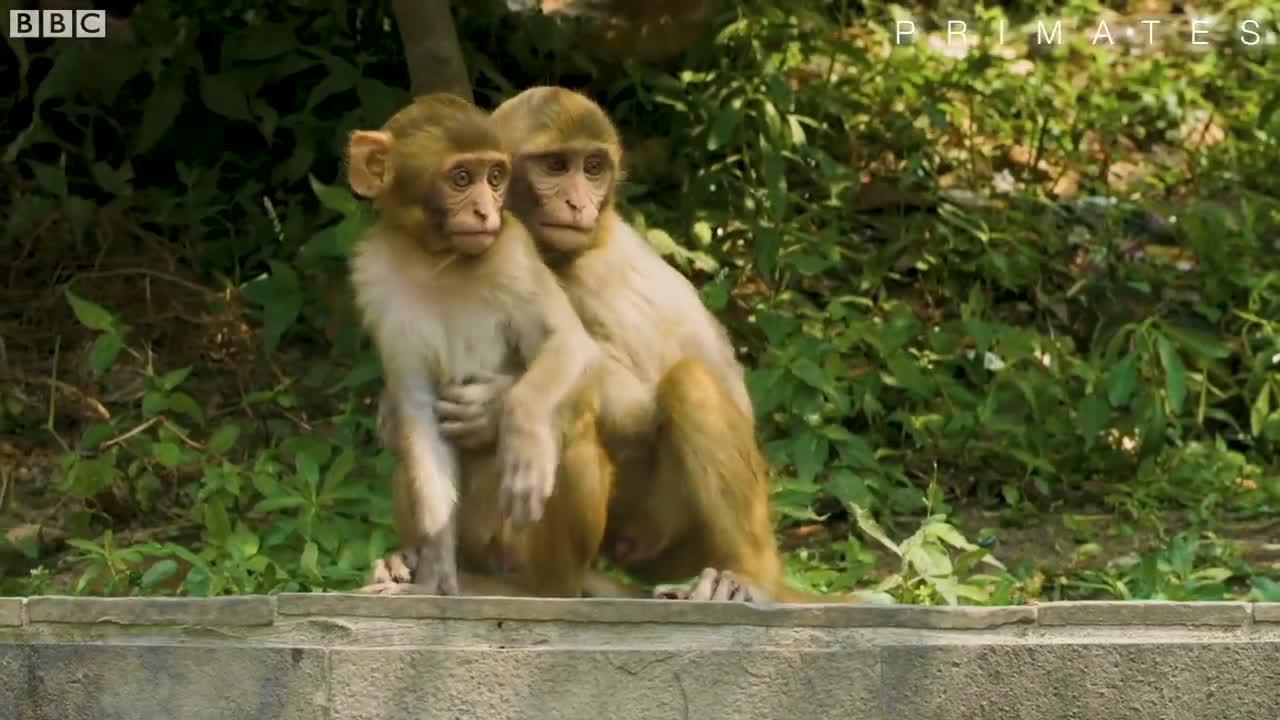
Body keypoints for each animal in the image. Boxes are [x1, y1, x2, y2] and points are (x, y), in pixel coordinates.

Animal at [348, 94, 611, 594]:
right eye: (461, 178)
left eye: (495, 177)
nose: (487, 213)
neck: (437, 261)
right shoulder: (377, 280)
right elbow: (417, 412)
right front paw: (433, 569)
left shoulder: (514, 252)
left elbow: (570, 346)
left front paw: (523, 436)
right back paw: (408, 561)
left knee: (573, 428)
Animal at [427, 87, 860, 602]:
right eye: (556, 165)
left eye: (593, 167)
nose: (578, 202)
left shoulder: (585, 280)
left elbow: (633, 409)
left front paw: (497, 401)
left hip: (668, 533)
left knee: (689, 383)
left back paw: (749, 576)